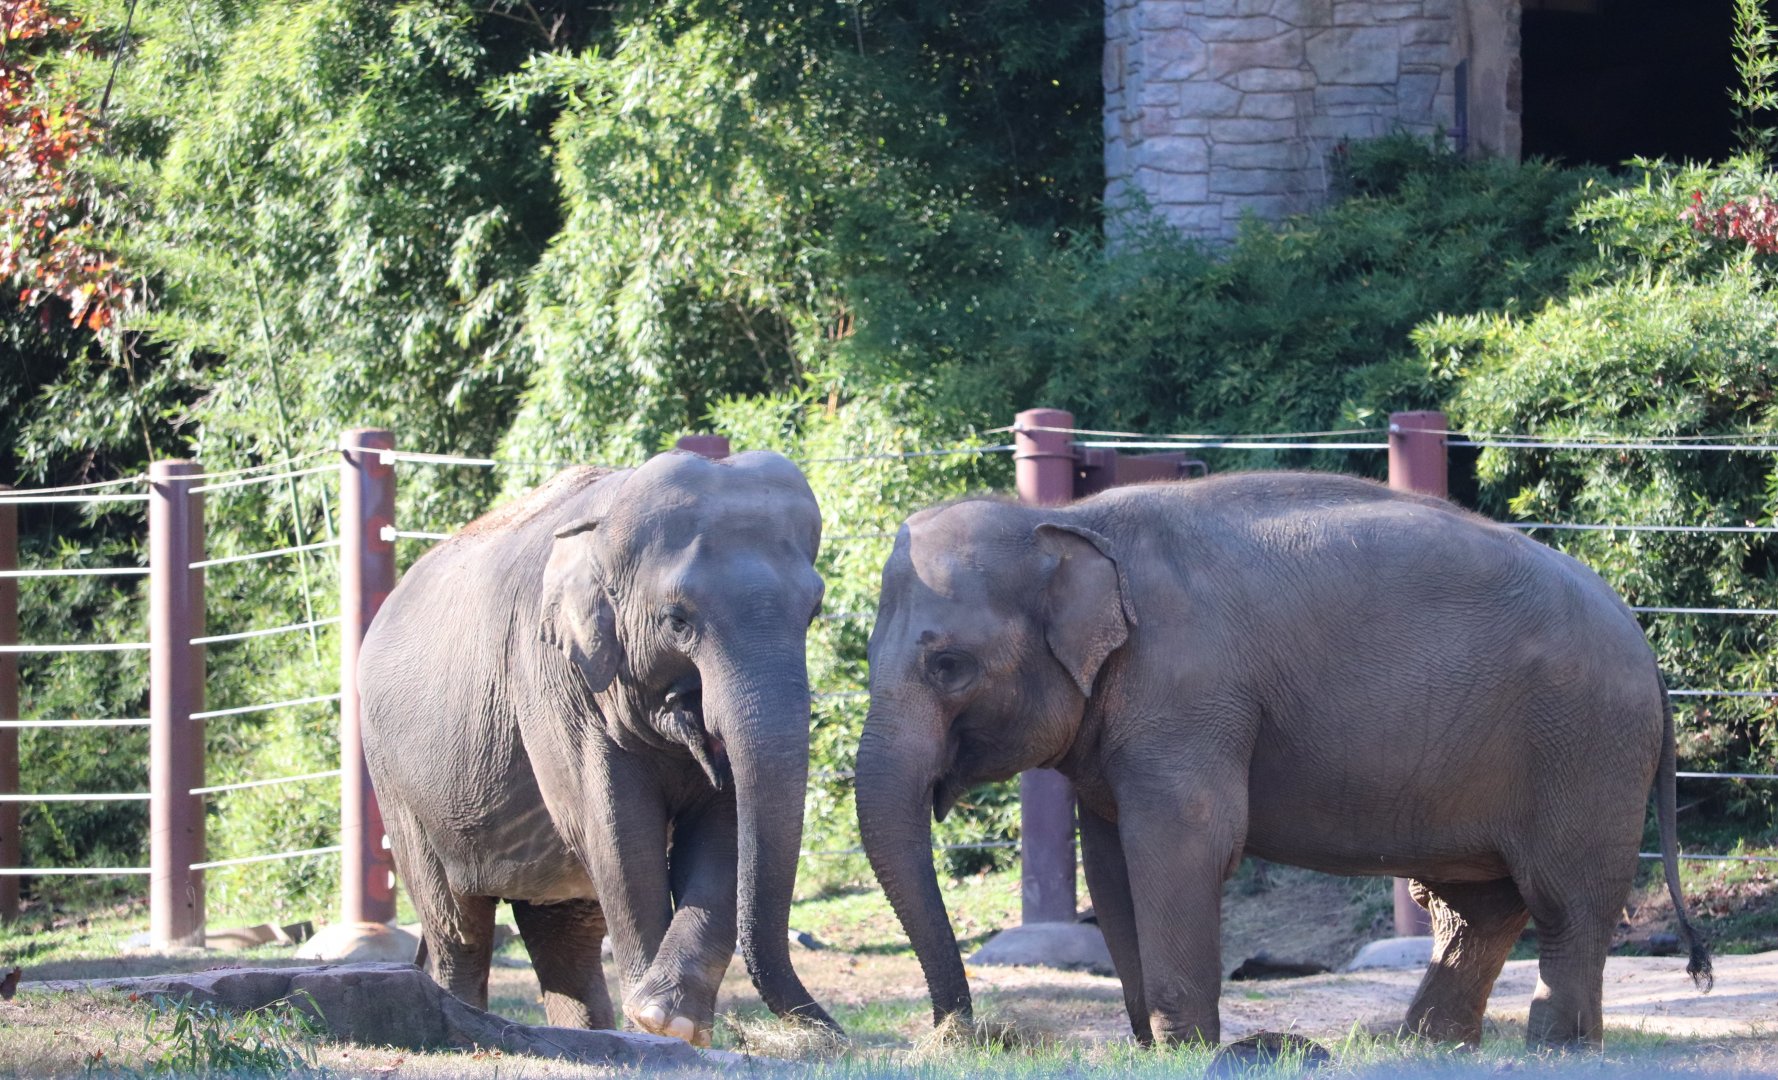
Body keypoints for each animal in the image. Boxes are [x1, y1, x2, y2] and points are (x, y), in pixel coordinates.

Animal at [359, 449, 838, 1047]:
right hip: (397, 786)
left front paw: (669, 1021)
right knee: (458, 926)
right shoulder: (555, 680)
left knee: (564, 935)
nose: (831, 1034)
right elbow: (618, 835)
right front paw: (657, 1024)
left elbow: (726, 825)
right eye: (676, 619)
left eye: (813, 611)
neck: (605, 522)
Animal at [855, 470, 1711, 1050]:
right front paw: (1151, 1047)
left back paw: (1554, 1046)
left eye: (948, 666)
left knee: (1565, 901)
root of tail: (1646, 648)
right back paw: (1426, 1045)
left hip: (1585, 747)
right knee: (1477, 907)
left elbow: (1184, 842)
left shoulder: (1190, 690)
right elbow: (1110, 862)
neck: (1065, 521)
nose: (963, 1036)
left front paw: (1185, 1048)